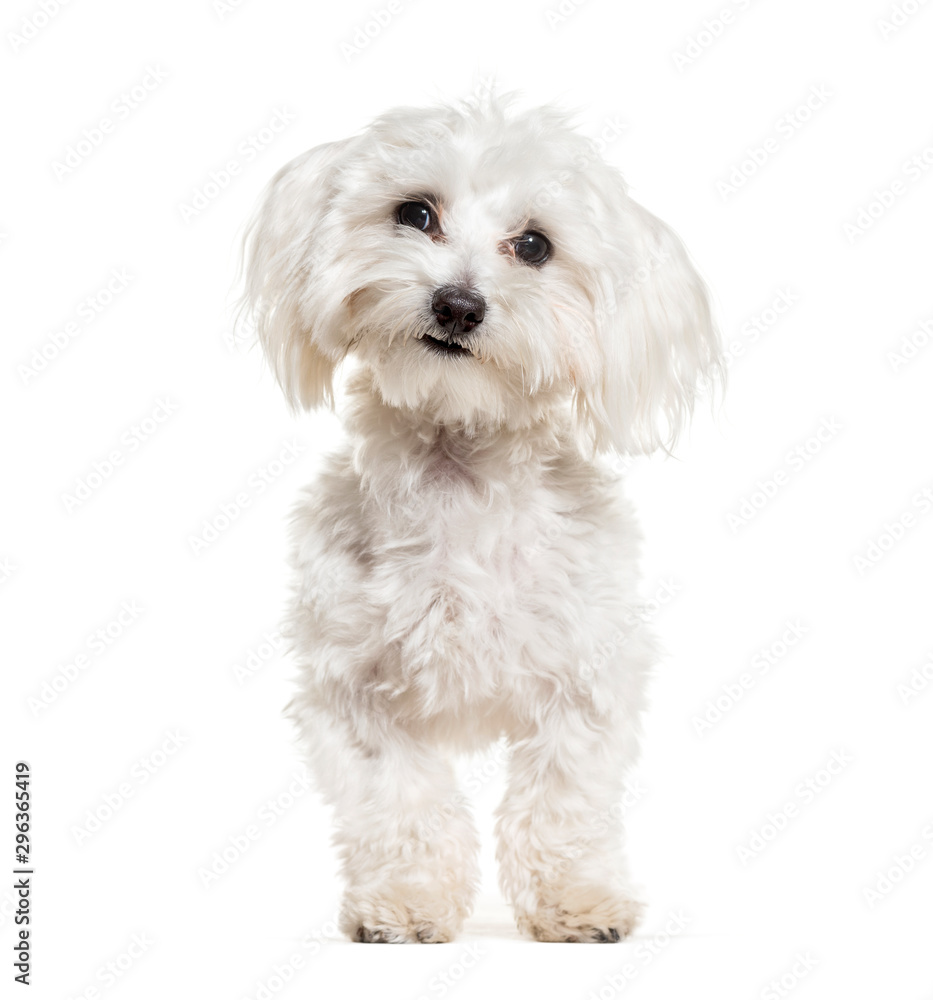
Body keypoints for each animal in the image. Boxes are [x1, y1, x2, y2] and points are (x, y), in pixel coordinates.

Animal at [240, 94, 720, 944]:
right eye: (414, 212)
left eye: (533, 245)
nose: (457, 304)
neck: (457, 475)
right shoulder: (352, 689)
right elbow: (400, 802)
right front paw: (405, 901)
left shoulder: (585, 679)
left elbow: (562, 803)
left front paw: (577, 900)